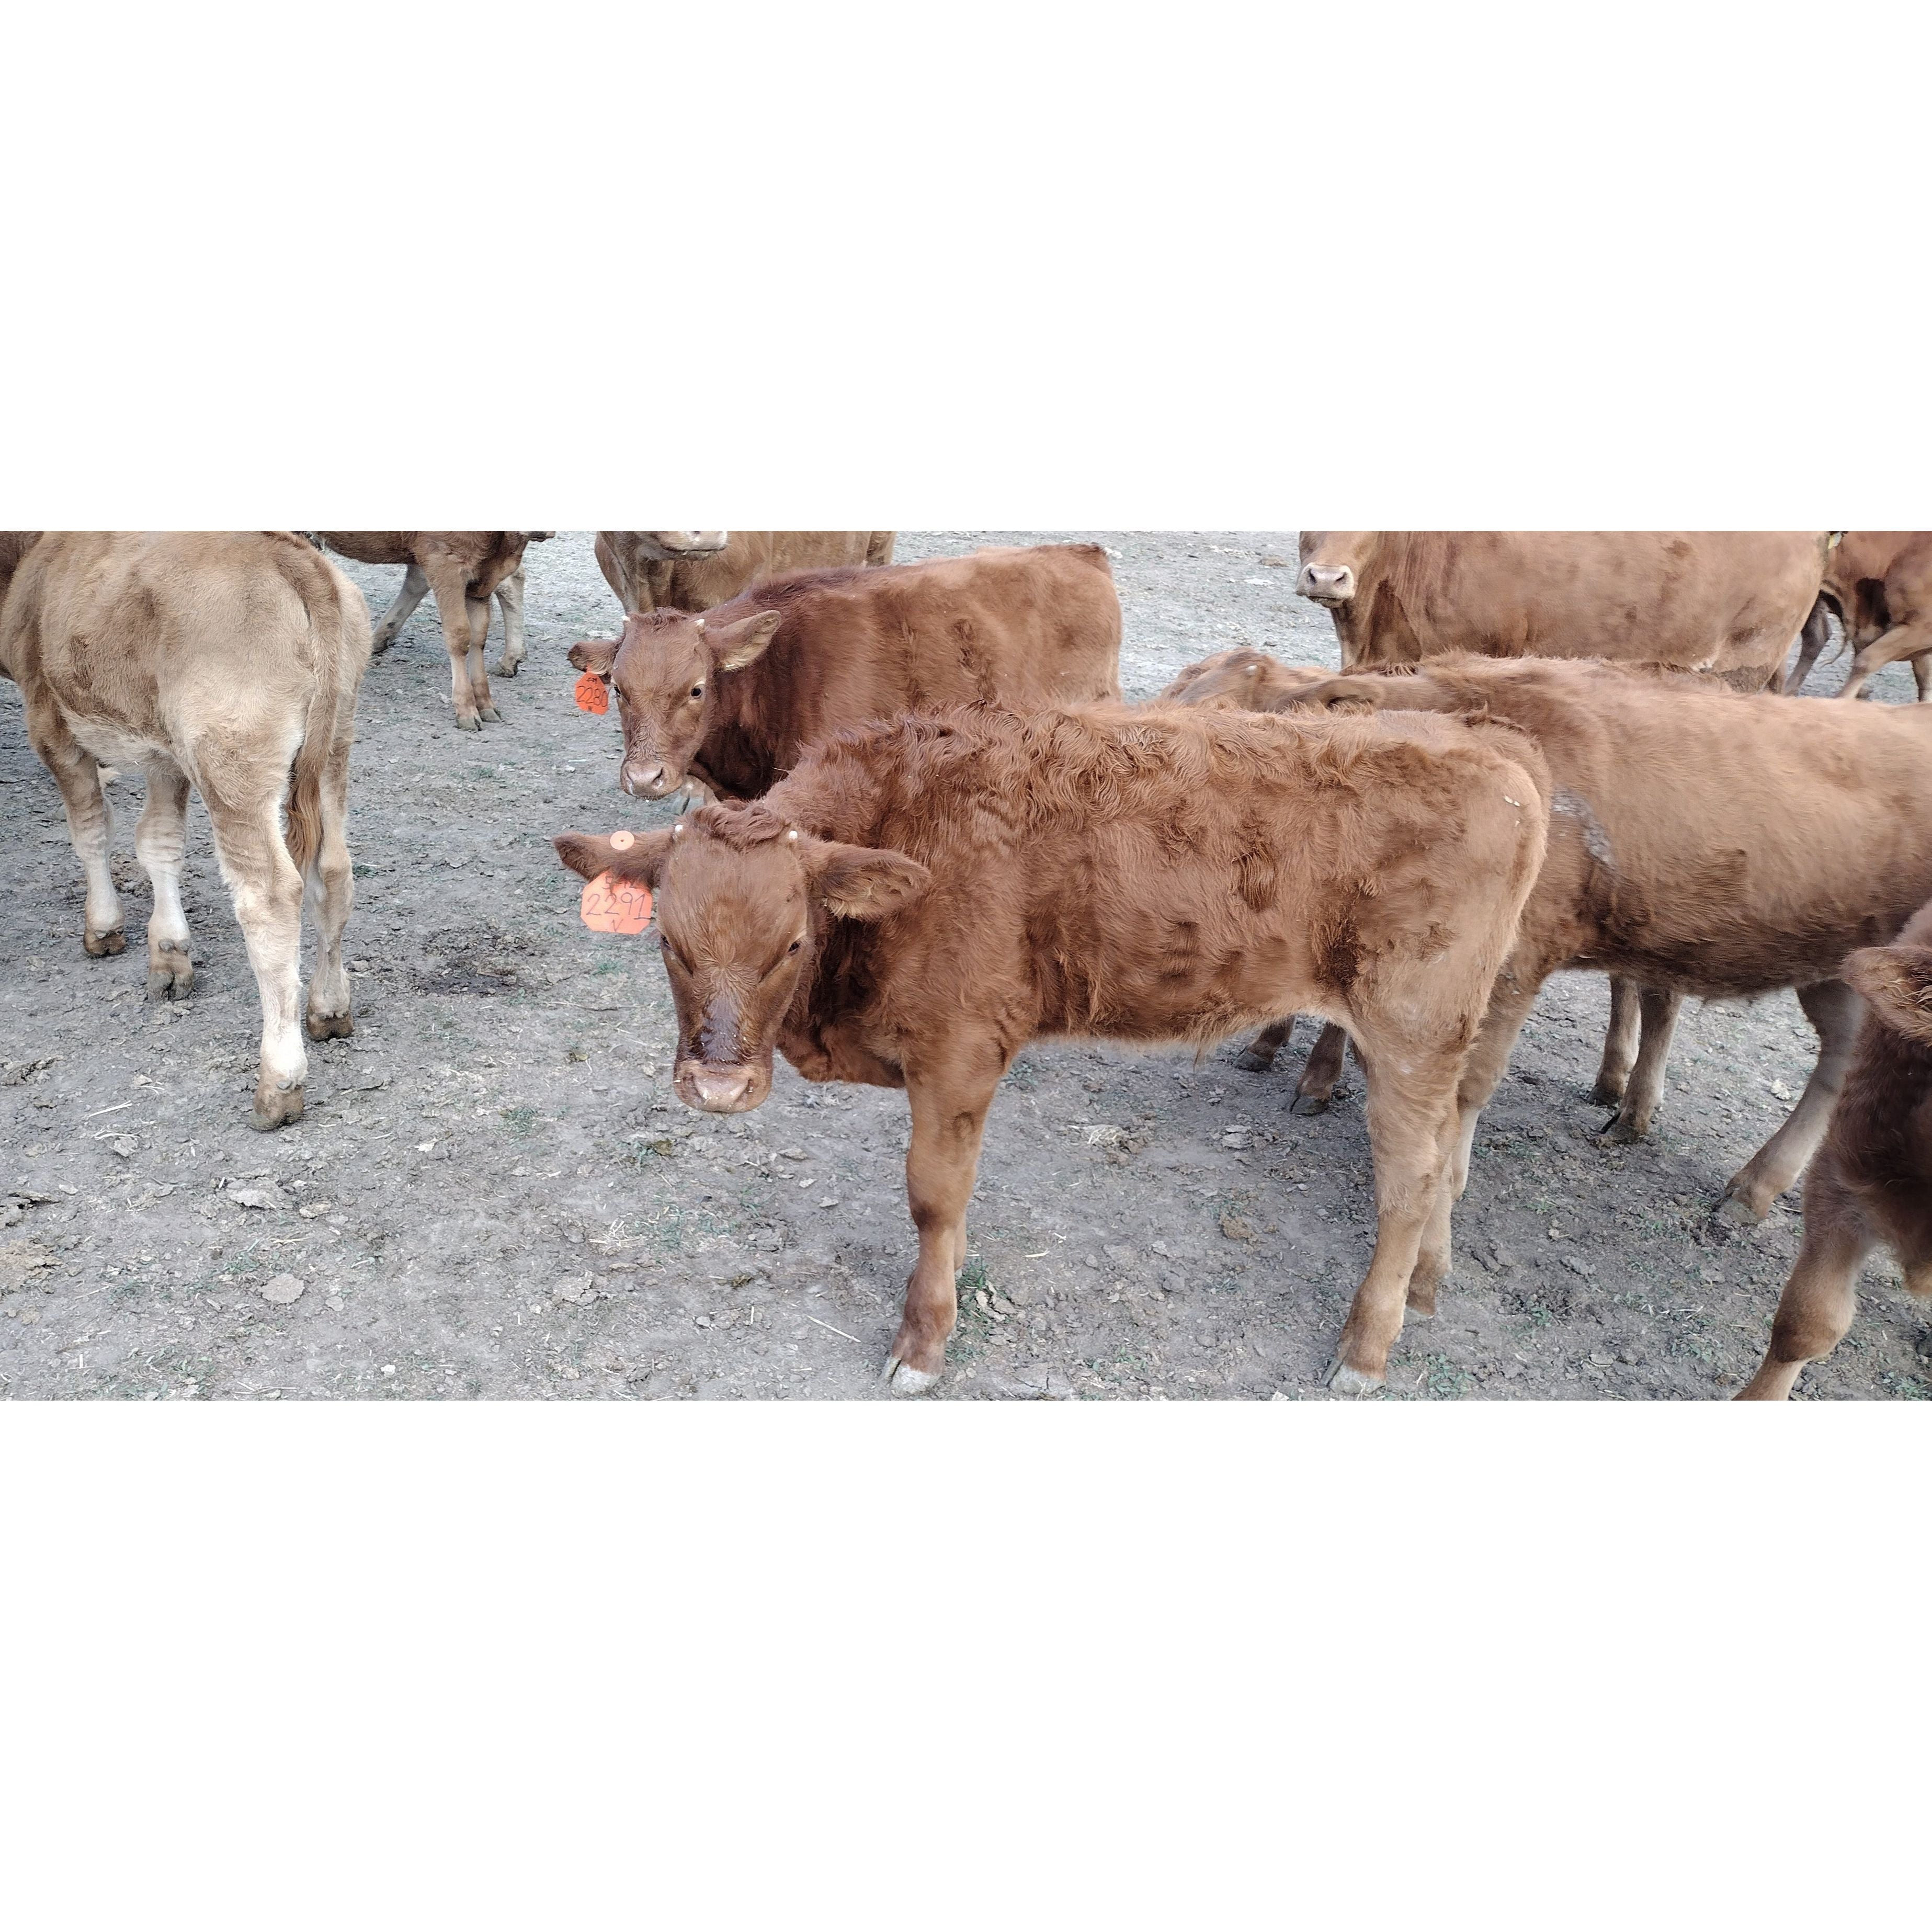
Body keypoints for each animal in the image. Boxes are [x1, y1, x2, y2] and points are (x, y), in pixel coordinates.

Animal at [0, 531, 371, 1130]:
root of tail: (289, 553)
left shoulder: (50, 719)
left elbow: (91, 829)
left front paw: (103, 927)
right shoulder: (165, 753)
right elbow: (158, 842)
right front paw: (170, 952)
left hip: (232, 760)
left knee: (270, 896)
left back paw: (279, 1081)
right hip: (336, 742)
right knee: (334, 874)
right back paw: (330, 1008)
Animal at [315, 531, 546, 729]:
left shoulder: (463, 570)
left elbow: (470, 637)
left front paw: (476, 709)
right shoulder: (450, 564)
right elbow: (466, 636)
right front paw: (474, 709)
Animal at [554, 700, 1551, 1395]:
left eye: (790, 944)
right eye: (669, 942)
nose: (717, 1085)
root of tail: (1489, 744)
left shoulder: (958, 1052)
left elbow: (931, 1195)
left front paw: (924, 1337)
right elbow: (952, 1202)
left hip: (1410, 1031)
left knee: (1408, 1182)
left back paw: (1365, 1346)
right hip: (1442, 1040)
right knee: (1449, 1153)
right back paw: (1426, 1285)